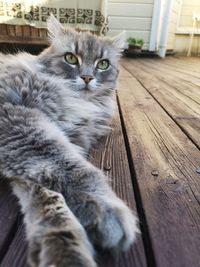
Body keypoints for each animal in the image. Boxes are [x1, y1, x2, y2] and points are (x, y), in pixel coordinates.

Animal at [0, 15, 138, 267]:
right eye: (71, 59)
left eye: (103, 64)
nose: (87, 78)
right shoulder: (20, 122)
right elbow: (72, 170)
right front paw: (105, 210)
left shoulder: (41, 148)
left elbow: (46, 194)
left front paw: (61, 246)